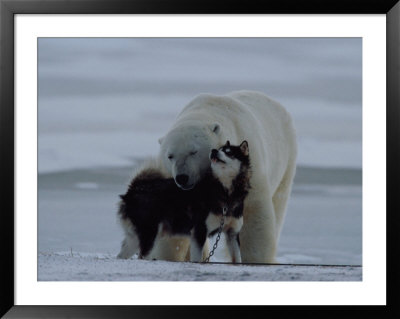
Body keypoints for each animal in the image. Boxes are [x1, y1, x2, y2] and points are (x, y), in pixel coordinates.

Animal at [117, 141, 252, 264]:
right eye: (220, 149)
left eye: (229, 152)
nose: (213, 151)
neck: (225, 192)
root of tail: (134, 189)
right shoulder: (199, 231)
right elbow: (197, 259)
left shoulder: (232, 233)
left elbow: (237, 259)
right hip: (149, 235)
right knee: (142, 256)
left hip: (135, 239)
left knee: (122, 255)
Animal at [153, 91, 296, 264]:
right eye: (170, 156)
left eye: (193, 152)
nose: (182, 177)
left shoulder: (248, 172)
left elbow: (253, 216)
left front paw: (255, 259)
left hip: (286, 159)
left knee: (279, 203)